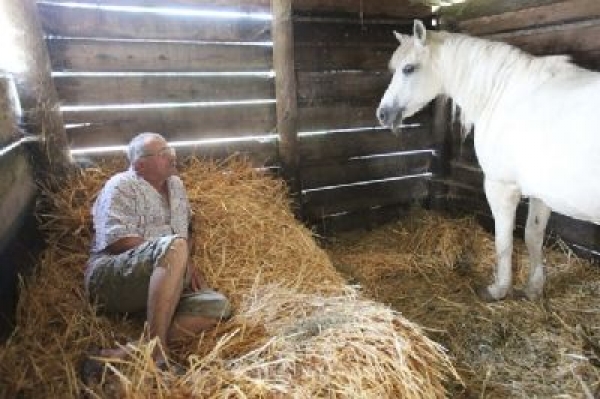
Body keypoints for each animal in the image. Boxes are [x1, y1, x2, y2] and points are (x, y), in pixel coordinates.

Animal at [380, 18, 600, 300]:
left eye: (408, 69)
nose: (382, 114)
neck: (504, 93)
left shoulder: (500, 186)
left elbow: (503, 241)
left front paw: (499, 289)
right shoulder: (540, 191)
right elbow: (533, 236)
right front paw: (533, 289)